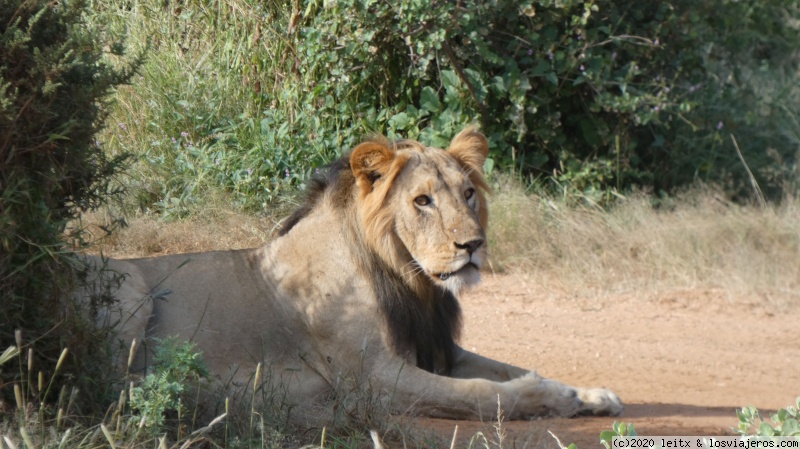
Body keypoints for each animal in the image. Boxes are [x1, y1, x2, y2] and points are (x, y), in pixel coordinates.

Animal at [87, 127, 624, 420]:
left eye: (468, 193)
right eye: (422, 201)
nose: (473, 246)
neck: (412, 281)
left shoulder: (439, 350)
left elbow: (503, 369)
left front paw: (589, 394)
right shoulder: (373, 378)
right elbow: (483, 393)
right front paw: (546, 396)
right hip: (129, 288)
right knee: (111, 388)